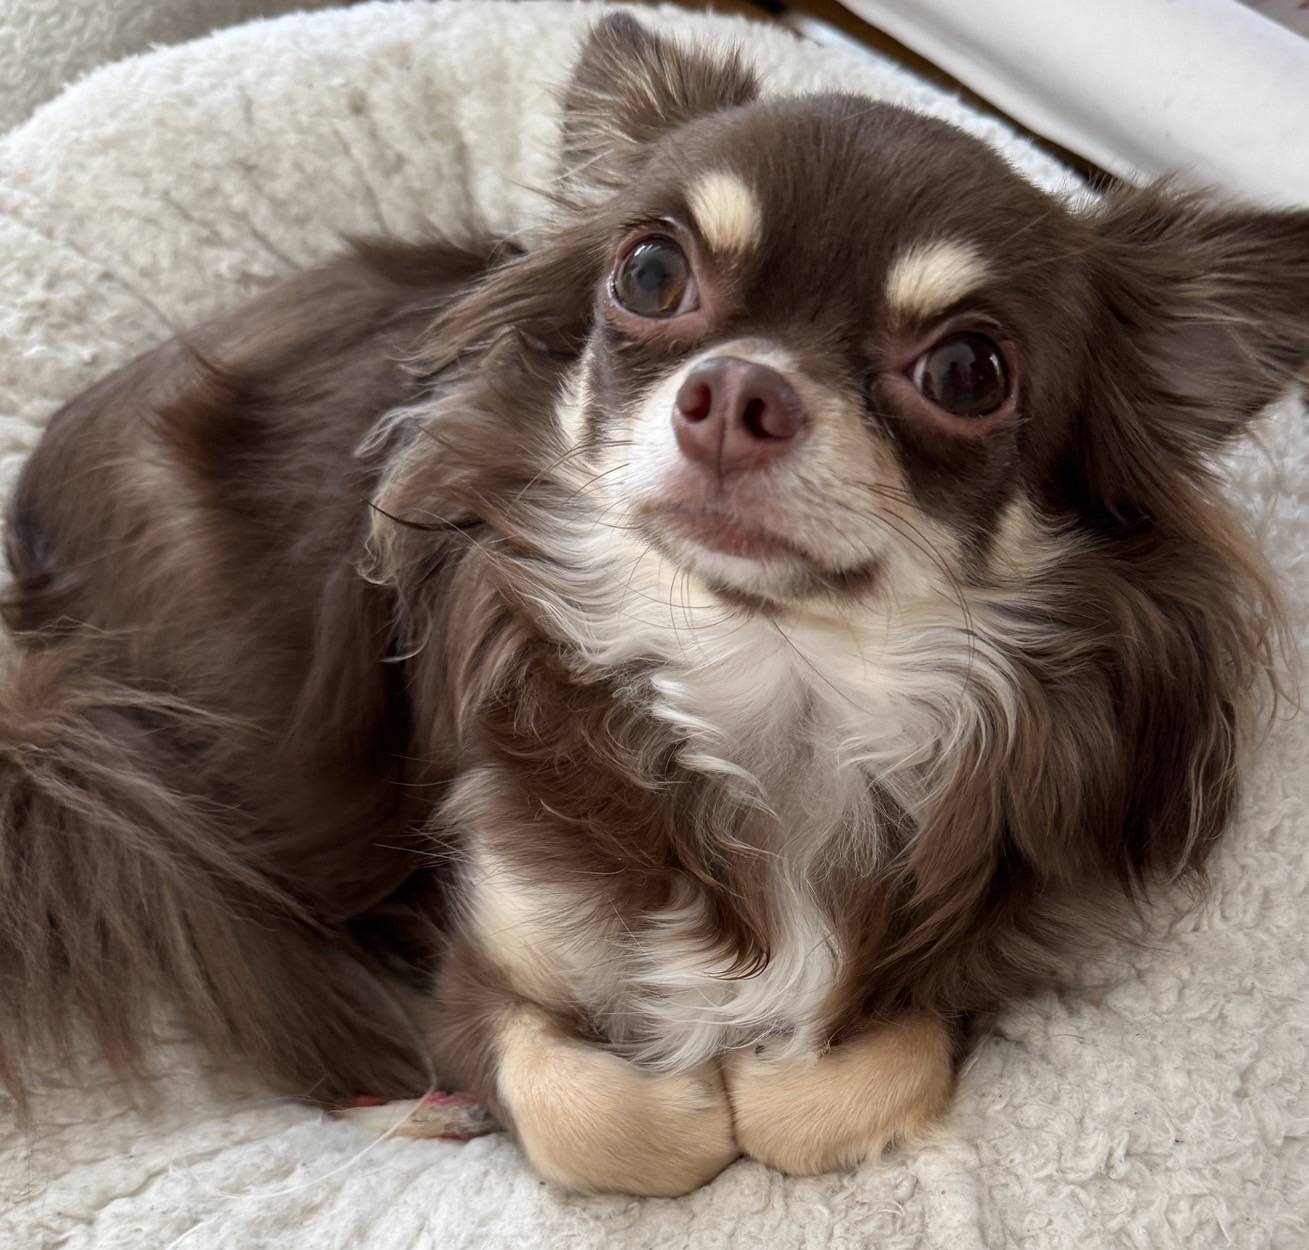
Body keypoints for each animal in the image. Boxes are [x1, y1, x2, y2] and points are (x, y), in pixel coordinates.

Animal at [2, 13, 1307, 1196]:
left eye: (967, 370)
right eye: (649, 272)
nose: (735, 389)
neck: (771, 681)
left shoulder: (961, 948)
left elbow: (860, 1073)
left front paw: (765, 1077)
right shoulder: (476, 957)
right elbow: (585, 1108)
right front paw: (677, 1092)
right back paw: (406, 1105)